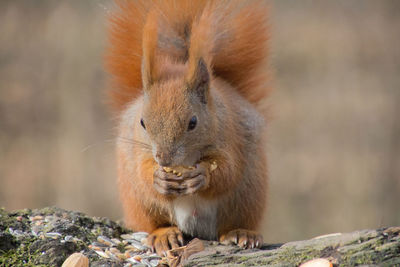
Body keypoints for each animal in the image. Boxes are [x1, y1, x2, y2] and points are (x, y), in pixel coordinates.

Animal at [104, 0, 270, 256]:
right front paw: (158, 177)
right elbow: (144, 171)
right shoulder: (139, 148)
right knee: (154, 220)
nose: (163, 159)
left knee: (234, 218)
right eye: (142, 122)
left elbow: (227, 171)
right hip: (138, 201)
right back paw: (163, 235)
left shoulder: (229, 136)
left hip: (248, 194)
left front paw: (201, 175)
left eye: (193, 122)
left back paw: (241, 233)